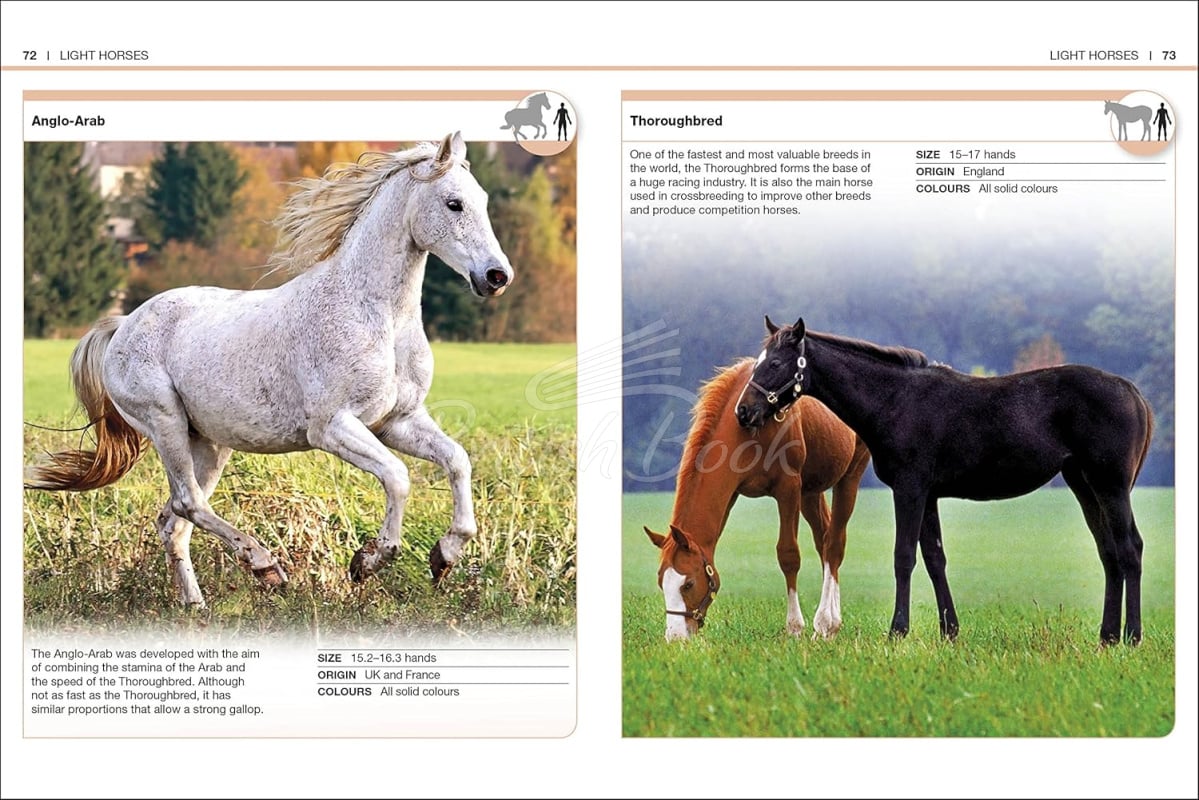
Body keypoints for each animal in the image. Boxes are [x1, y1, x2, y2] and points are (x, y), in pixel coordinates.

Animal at [24, 132, 514, 608]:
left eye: (483, 199)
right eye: (454, 203)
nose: (497, 277)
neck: (378, 317)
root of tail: (124, 324)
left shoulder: (399, 421)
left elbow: (457, 461)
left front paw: (444, 556)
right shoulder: (333, 428)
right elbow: (397, 476)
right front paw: (368, 562)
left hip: (208, 443)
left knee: (173, 520)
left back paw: (196, 605)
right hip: (165, 424)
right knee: (188, 504)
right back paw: (266, 567)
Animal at [644, 359, 871, 641]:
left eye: (688, 584)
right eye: (661, 582)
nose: (675, 637)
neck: (747, 430)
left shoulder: (788, 489)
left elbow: (788, 555)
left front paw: (794, 628)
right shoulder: (732, 493)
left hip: (849, 477)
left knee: (835, 545)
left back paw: (827, 621)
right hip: (810, 492)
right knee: (825, 540)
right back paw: (826, 627)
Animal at [736, 317, 1154, 645]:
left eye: (775, 363)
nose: (744, 411)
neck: (895, 400)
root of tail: (1134, 393)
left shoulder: (910, 489)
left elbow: (904, 557)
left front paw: (898, 631)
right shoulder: (929, 495)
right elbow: (935, 558)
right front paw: (949, 631)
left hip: (1111, 487)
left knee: (1129, 549)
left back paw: (1131, 636)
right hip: (1085, 486)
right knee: (1109, 552)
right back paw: (1107, 636)